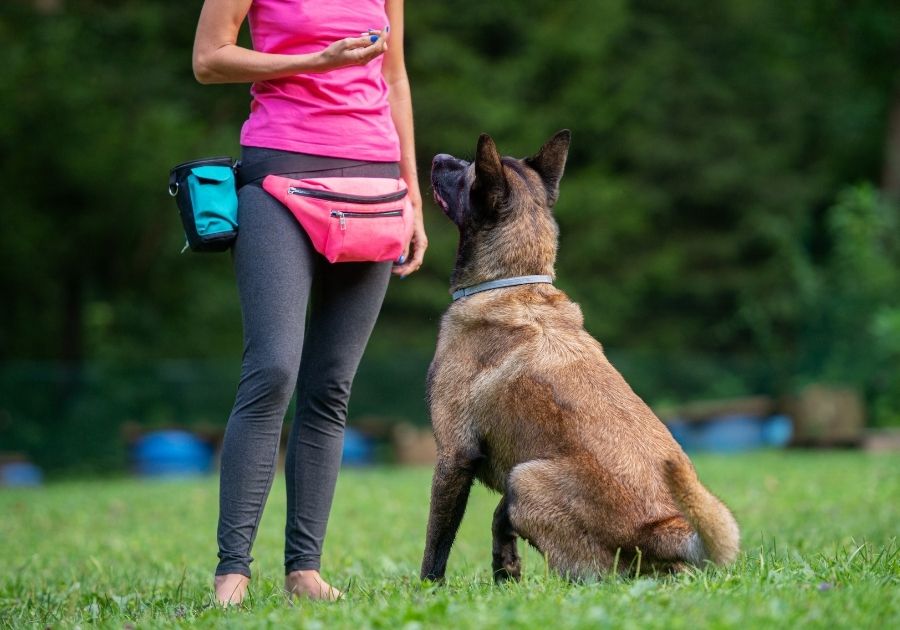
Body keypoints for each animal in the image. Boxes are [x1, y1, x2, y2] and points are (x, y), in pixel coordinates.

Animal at [422, 132, 740, 584]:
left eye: (466, 172)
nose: (438, 156)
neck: (512, 282)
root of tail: (663, 529)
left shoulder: (453, 456)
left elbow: (437, 543)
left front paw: (427, 590)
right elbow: (498, 523)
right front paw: (506, 572)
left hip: (526, 477)